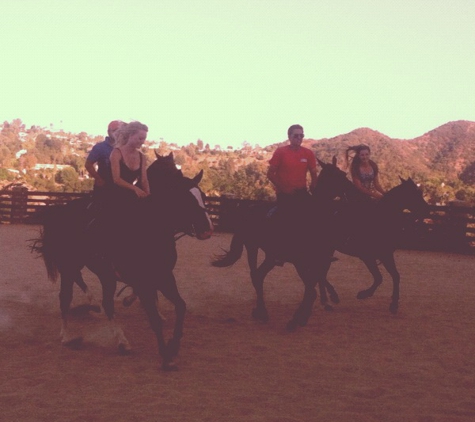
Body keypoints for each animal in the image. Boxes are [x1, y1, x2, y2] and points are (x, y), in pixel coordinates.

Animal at [36, 154, 215, 370]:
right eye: (185, 198)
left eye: (202, 195)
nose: (207, 229)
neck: (149, 227)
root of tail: (60, 211)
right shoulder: (143, 282)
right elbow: (154, 318)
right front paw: (165, 355)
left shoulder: (164, 277)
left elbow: (181, 307)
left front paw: (173, 345)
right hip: (69, 267)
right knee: (65, 298)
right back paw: (67, 335)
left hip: (102, 274)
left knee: (105, 303)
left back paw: (119, 338)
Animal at [212, 157, 350, 330]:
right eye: (337, 176)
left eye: (343, 173)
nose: (349, 191)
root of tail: (248, 209)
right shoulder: (300, 262)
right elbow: (311, 289)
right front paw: (297, 319)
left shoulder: (317, 261)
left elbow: (313, 286)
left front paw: (303, 316)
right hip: (252, 247)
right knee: (255, 275)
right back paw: (262, 311)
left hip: (270, 256)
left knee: (259, 275)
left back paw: (259, 311)